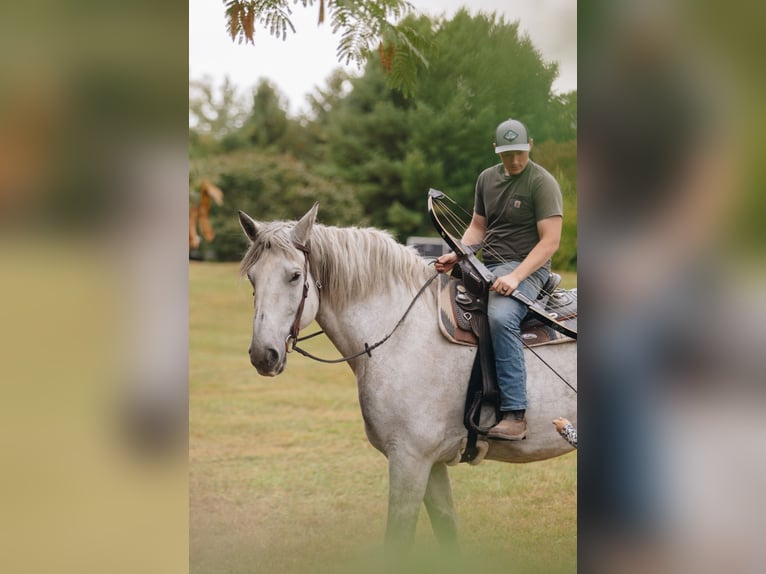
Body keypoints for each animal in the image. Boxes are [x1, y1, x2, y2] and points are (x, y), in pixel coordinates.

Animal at [240, 206, 576, 552]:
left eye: (295, 275)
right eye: (252, 277)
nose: (263, 354)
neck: (401, 331)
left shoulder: (409, 459)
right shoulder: (431, 464)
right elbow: (447, 532)